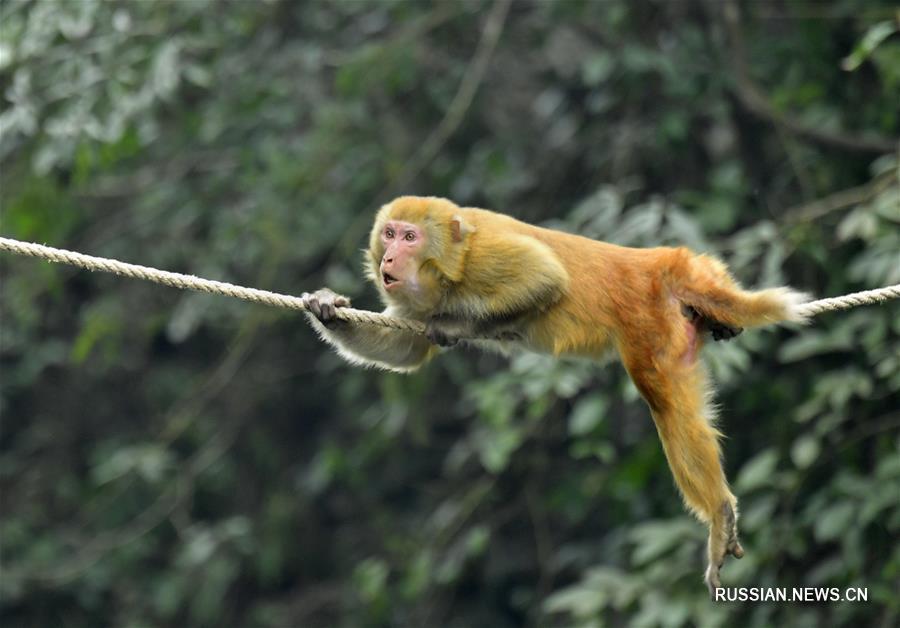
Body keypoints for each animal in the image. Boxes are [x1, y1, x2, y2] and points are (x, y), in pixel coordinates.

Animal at [300, 196, 808, 592]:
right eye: (387, 234)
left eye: (409, 237)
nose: (388, 258)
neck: (450, 265)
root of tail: (655, 262)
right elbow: (407, 350)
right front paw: (328, 308)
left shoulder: (484, 258)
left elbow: (544, 278)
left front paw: (456, 326)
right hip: (695, 286)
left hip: (649, 322)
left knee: (664, 400)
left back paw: (719, 512)